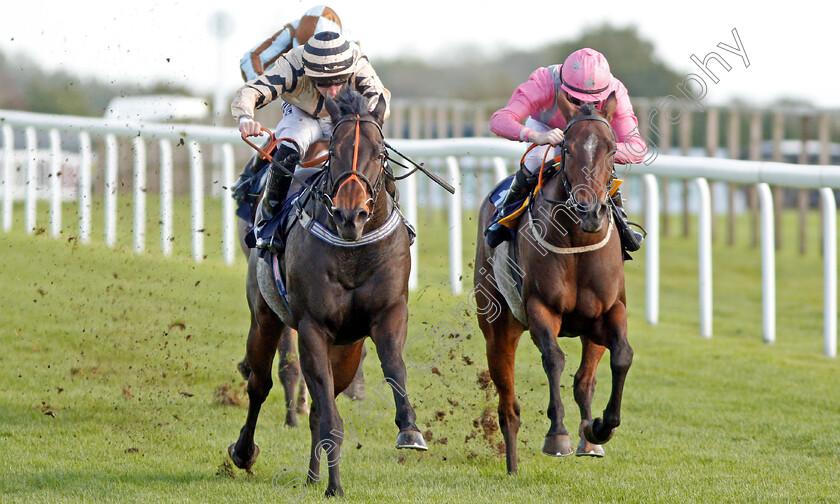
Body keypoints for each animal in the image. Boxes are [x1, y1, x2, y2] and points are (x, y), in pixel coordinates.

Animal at [228, 87, 426, 496]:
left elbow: (394, 367)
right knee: (260, 384)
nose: (351, 215)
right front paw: (335, 487)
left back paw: (312, 474)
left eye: (380, 153)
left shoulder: (389, 313)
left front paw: (410, 429)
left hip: (346, 350)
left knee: (321, 404)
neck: (354, 251)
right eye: (334, 152)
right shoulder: (312, 327)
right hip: (265, 318)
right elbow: (327, 415)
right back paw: (244, 452)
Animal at [476, 92, 632, 474]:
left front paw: (600, 426)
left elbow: (622, 357)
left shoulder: (610, 311)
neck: (576, 238)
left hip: (590, 330)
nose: (591, 211)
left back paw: (589, 441)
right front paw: (557, 434)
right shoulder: (539, 308)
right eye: (568, 148)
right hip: (497, 327)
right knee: (508, 405)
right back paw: (512, 466)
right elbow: (553, 358)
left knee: (584, 381)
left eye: (611, 148)